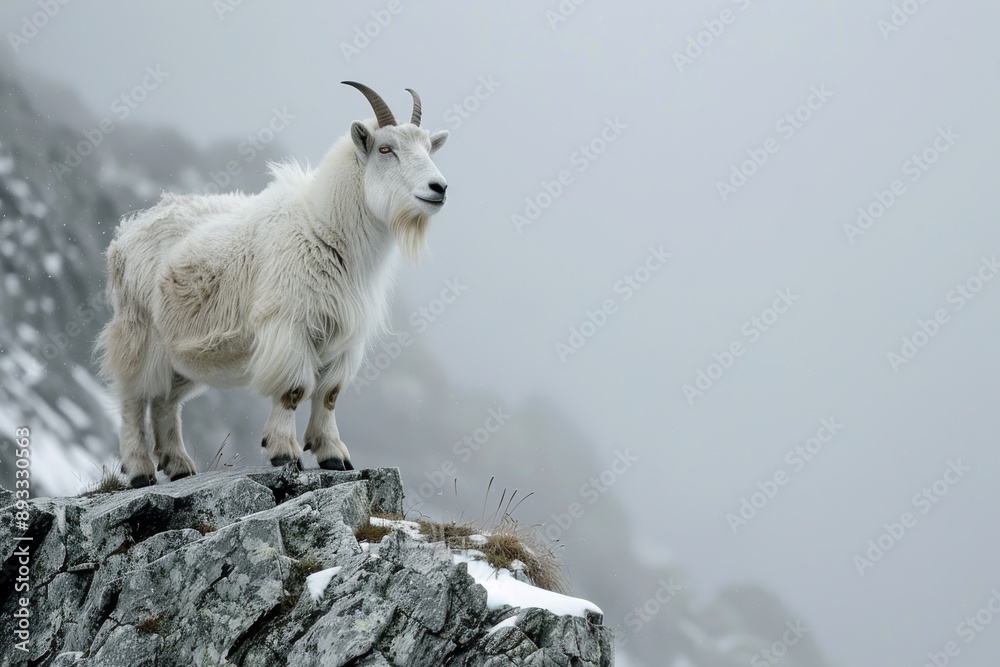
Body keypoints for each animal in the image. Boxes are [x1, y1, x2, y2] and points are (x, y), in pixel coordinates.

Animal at [96, 82, 450, 487]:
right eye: (386, 149)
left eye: (428, 148)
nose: (438, 187)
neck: (326, 228)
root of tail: (124, 236)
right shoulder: (289, 325)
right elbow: (294, 391)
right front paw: (283, 451)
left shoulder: (343, 338)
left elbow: (329, 395)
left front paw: (333, 454)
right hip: (138, 334)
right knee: (132, 398)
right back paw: (140, 469)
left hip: (184, 354)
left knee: (164, 401)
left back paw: (179, 464)